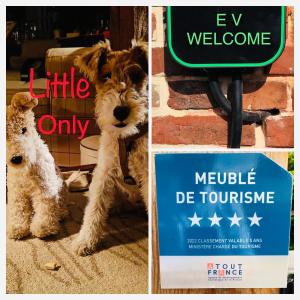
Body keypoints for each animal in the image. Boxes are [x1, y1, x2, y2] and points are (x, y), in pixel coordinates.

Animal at [6, 92, 67, 238]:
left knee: (60, 204)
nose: (16, 158)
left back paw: (61, 214)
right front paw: (17, 228)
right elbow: (18, 210)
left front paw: (43, 228)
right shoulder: (17, 192)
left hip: (60, 187)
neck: (25, 169)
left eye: (24, 129)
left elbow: (45, 209)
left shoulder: (44, 189)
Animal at [72, 39, 148, 255]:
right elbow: (95, 207)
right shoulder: (104, 171)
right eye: (106, 76)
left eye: (136, 75)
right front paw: (85, 241)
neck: (126, 140)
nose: (120, 111)